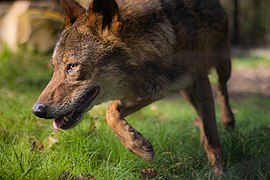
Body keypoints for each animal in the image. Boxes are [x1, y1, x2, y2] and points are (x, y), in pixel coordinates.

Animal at [32, 0, 234, 175]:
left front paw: (219, 172)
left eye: (72, 66)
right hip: (186, 92)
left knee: (222, 90)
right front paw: (138, 145)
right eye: (54, 67)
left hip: (223, 65)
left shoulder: (199, 80)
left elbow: (212, 136)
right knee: (200, 112)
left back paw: (228, 120)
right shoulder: (153, 89)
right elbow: (111, 112)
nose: (37, 110)